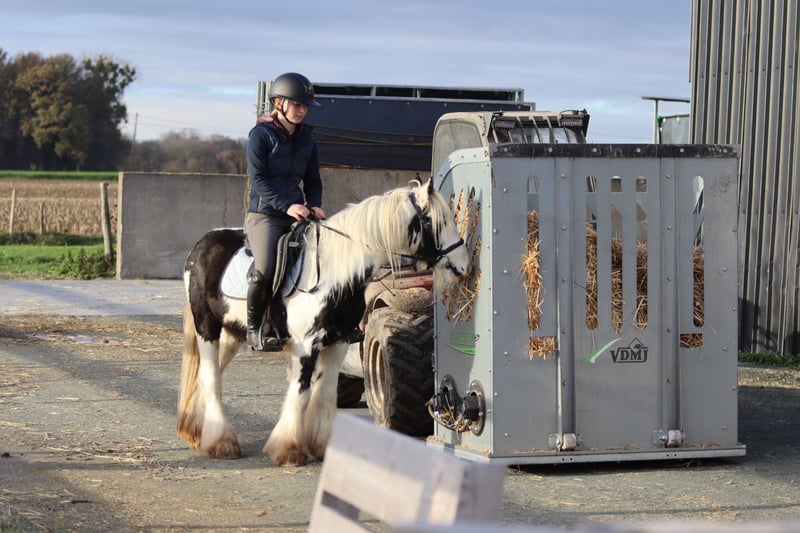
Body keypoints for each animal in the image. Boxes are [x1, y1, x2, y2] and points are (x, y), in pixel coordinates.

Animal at [176, 178, 469, 466]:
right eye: (434, 221)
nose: (464, 264)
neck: (334, 272)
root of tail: (202, 244)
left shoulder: (338, 342)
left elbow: (325, 393)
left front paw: (322, 446)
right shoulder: (306, 346)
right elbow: (302, 392)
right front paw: (289, 449)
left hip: (231, 332)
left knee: (208, 374)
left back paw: (197, 432)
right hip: (207, 328)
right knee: (211, 377)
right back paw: (221, 443)